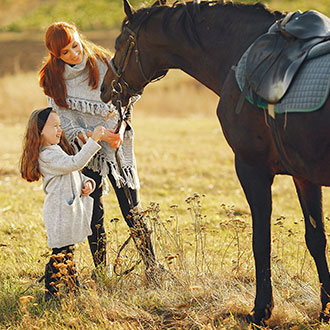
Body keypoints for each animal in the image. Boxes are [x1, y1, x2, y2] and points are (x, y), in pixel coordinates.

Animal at [100, 0, 330, 324]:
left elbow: (261, 241)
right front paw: (326, 308)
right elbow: (316, 239)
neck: (241, 55)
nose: (105, 89)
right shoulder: (304, 176)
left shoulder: (251, 169)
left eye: (120, 44)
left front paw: (261, 310)